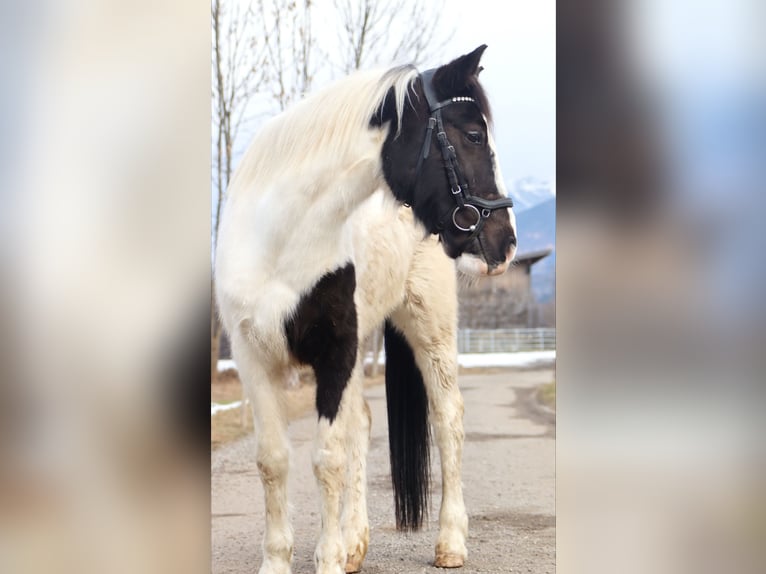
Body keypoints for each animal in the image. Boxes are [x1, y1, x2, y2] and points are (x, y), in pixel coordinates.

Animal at [215, 45, 517, 574]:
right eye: (474, 135)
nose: (507, 243)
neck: (277, 239)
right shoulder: (253, 358)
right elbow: (273, 459)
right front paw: (285, 558)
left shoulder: (334, 354)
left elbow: (327, 457)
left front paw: (329, 559)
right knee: (362, 423)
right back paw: (356, 542)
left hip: (430, 328)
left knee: (447, 420)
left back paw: (450, 543)